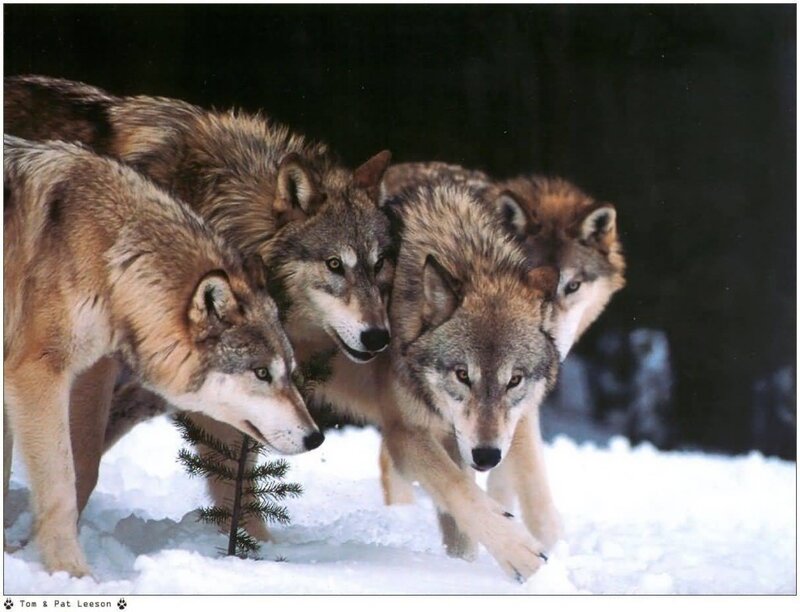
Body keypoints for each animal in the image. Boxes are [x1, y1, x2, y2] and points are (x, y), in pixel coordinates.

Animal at [3, 136, 321, 576]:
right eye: (261, 373)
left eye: (288, 372)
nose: (316, 437)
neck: (109, 256)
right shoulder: (37, 373)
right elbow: (62, 487)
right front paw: (73, 573)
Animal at [4, 75, 394, 526]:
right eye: (334, 264)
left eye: (379, 264)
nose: (378, 337)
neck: (217, 207)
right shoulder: (96, 367)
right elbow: (83, 463)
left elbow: (237, 481)